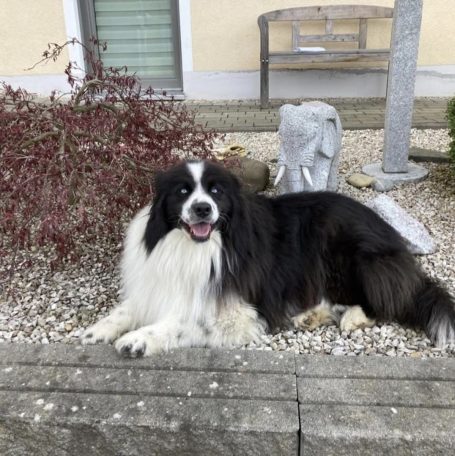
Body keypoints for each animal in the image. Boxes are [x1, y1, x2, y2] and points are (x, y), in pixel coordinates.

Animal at [82, 160, 455, 356]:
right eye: (183, 191)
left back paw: (351, 318)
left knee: (386, 299)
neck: (196, 248)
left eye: (216, 191)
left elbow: (187, 321)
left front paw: (139, 338)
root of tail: (388, 232)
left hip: (351, 258)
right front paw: (99, 329)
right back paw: (311, 316)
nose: (202, 209)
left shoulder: (237, 311)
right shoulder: (158, 284)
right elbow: (128, 308)